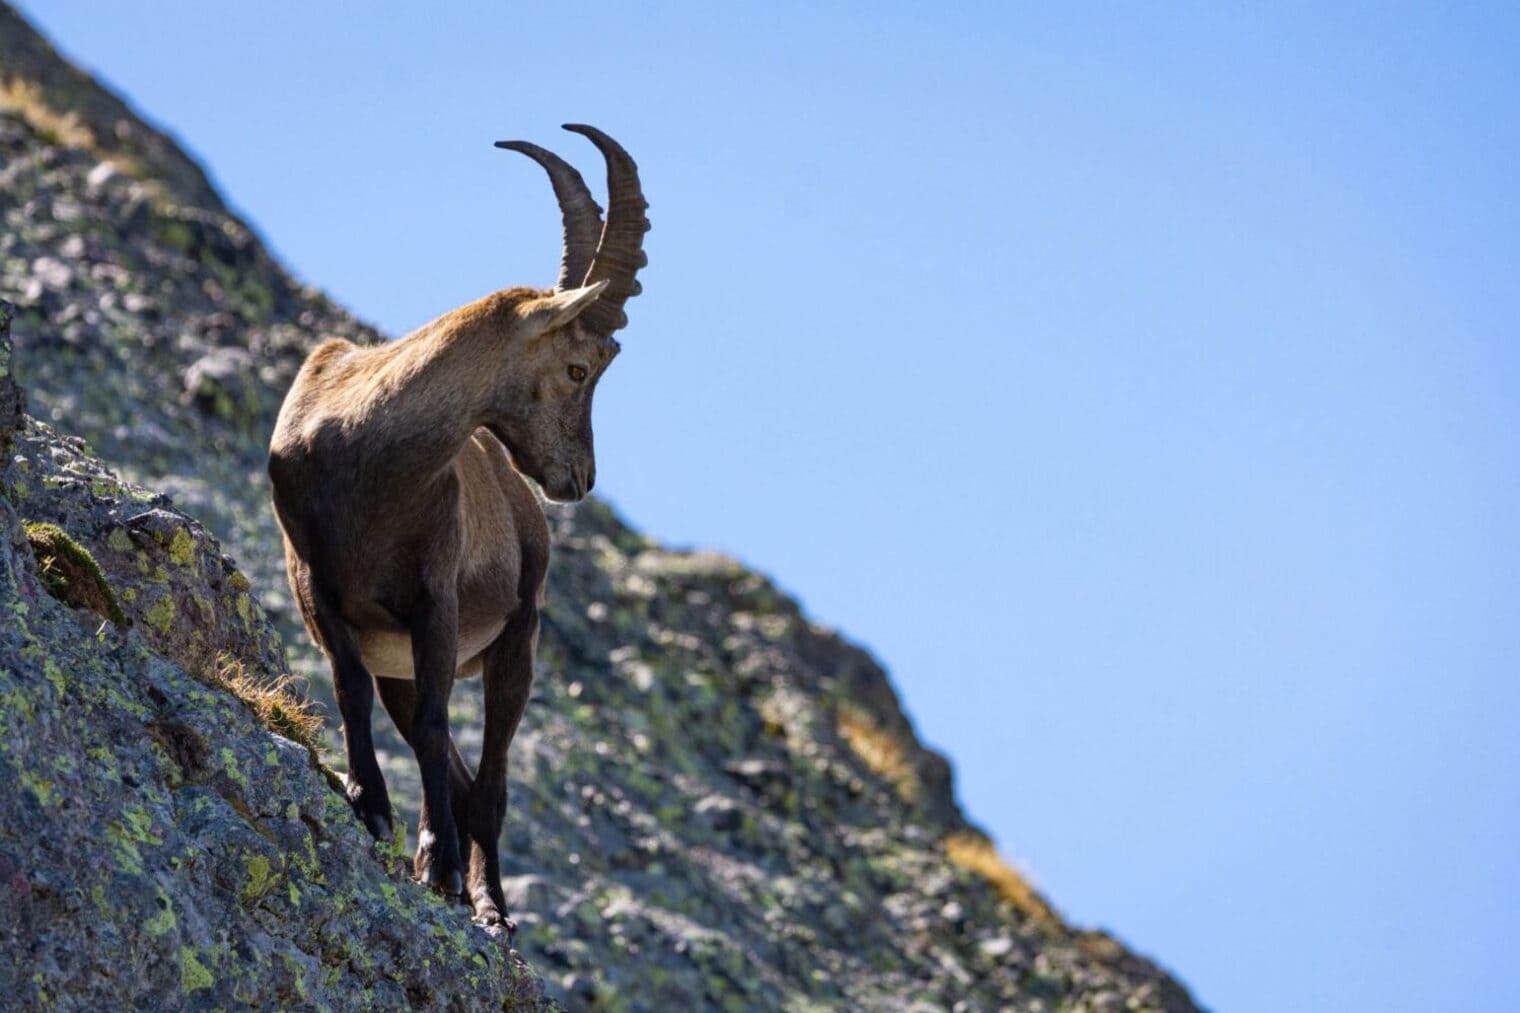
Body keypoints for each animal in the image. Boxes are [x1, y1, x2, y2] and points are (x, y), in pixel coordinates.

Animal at [267, 125, 648, 928]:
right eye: (578, 367)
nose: (581, 478)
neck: (369, 457)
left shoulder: (432, 598)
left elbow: (439, 724)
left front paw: (436, 859)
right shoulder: (324, 591)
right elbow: (351, 688)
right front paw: (368, 803)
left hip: (516, 639)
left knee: (491, 781)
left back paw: (491, 904)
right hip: (403, 663)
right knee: (462, 771)